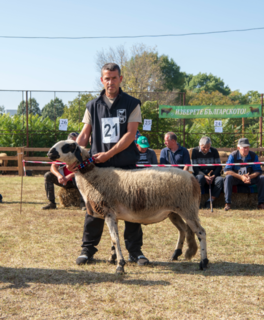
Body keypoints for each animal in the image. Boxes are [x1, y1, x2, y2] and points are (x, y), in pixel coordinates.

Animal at [47, 139, 208, 274]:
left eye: (68, 146)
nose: (49, 153)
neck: (92, 177)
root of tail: (192, 178)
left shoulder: (109, 212)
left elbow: (115, 239)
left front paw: (120, 265)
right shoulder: (113, 215)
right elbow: (113, 239)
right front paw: (112, 259)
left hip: (188, 208)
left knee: (201, 232)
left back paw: (203, 262)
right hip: (174, 212)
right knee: (183, 229)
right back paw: (176, 254)